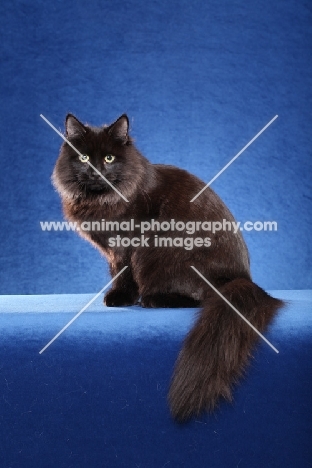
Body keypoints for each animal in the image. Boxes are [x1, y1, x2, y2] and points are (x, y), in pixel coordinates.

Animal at [52, 112, 284, 420]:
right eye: (85, 158)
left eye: (110, 158)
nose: (97, 171)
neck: (102, 201)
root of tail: (241, 279)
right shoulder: (113, 251)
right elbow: (115, 271)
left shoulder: (127, 245)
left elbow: (123, 274)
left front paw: (119, 298)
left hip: (161, 255)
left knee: (197, 297)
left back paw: (151, 300)